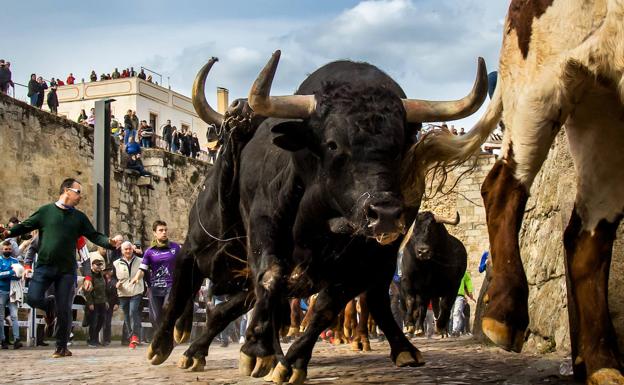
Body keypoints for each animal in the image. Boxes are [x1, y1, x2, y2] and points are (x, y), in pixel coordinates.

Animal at [145, 49, 488, 382]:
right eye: (333, 144)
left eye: (399, 146)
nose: (386, 215)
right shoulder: (212, 243)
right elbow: (247, 281)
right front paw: (249, 350)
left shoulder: (359, 264)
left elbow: (324, 308)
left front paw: (288, 361)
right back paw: (188, 347)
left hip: (383, 261)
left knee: (376, 299)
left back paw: (403, 348)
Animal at [414, 1, 624, 382]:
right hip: (541, 83)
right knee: (500, 184)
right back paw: (505, 314)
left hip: (602, 113)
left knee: (585, 237)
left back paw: (601, 364)